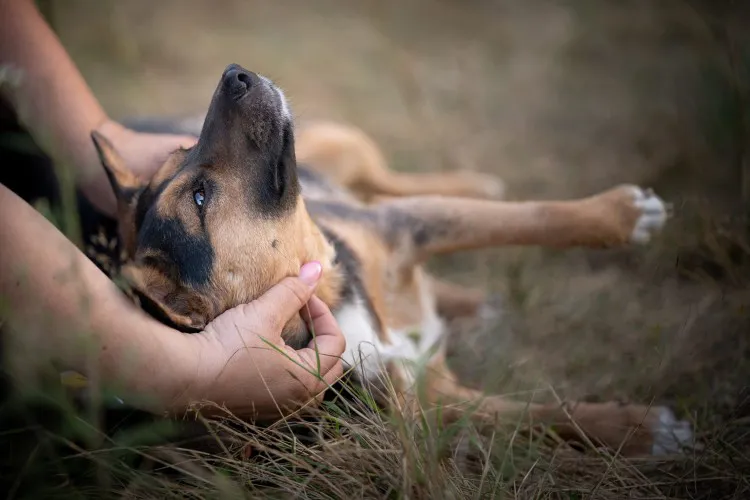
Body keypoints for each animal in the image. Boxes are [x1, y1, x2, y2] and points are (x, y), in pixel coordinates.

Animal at [91, 62, 696, 458]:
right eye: (198, 198)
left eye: (181, 154)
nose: (234, 72)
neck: (329, 289)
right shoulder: (427, 400)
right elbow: (539, 414)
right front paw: (642, 430)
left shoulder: (405, 227)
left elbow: (529, 217)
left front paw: (622, 213)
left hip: (347, 150)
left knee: (387, 180)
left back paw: (478, 193)